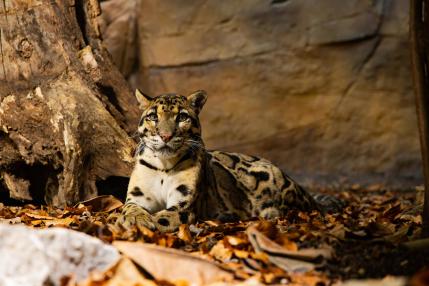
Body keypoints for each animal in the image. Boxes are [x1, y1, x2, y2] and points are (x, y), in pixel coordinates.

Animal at [116, 90, 338, 232]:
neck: (163, 166)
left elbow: (163, 217)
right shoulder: (138, 196)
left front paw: (144, 223)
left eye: (182, 117)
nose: (165, 136)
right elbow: (128, 207)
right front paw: (134, 218)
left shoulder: (185, 205)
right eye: (153, 116)